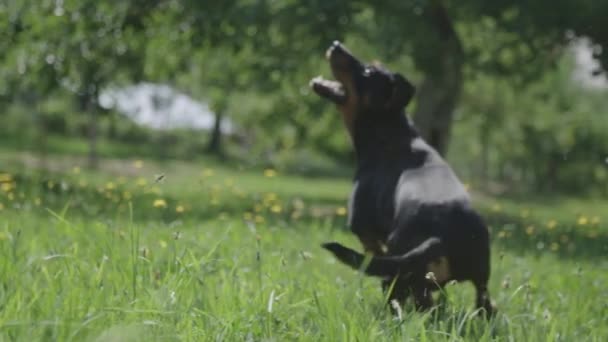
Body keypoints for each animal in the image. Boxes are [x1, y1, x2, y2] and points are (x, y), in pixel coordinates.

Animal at [308, 41, 494, 316]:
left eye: (367, 72)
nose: (336, 44)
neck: (389, 133)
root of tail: (440, 235)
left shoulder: (366, 233)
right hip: (478, 283)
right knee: (482, 305)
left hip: (402, 273)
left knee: (400, 296)